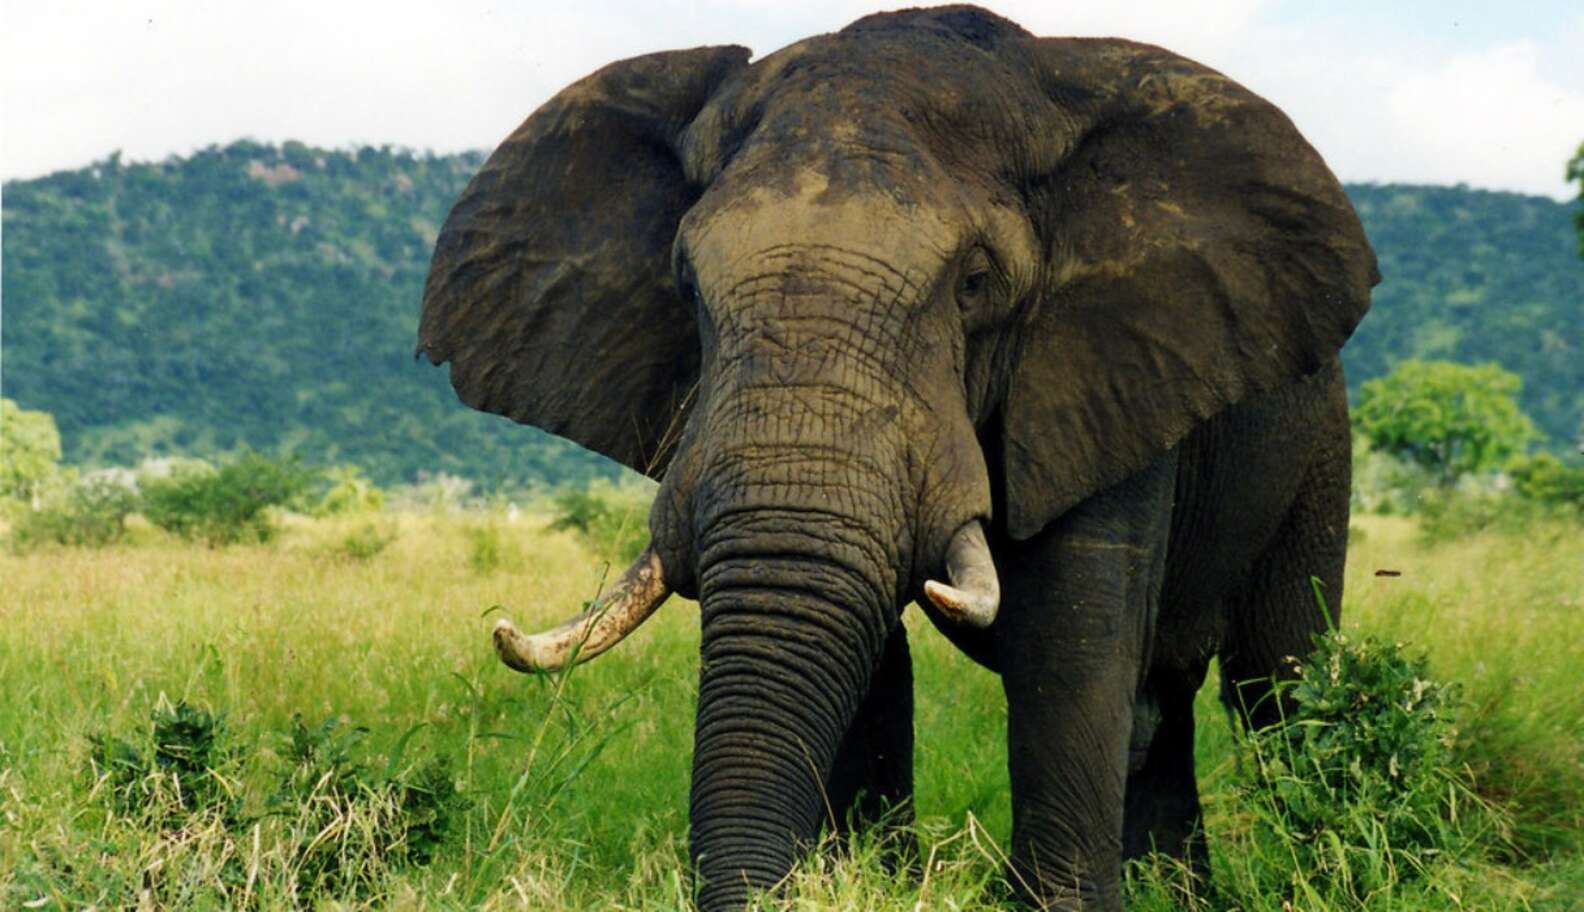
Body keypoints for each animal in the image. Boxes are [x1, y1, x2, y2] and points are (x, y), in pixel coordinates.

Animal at [417, 7, 1377, 910]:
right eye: (686, 286)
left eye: (975, 284)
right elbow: (862, 650)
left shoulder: (1107, 364)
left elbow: (1068, 644)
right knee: (1166, 714)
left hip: (1319, 446)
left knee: (1277, 682)